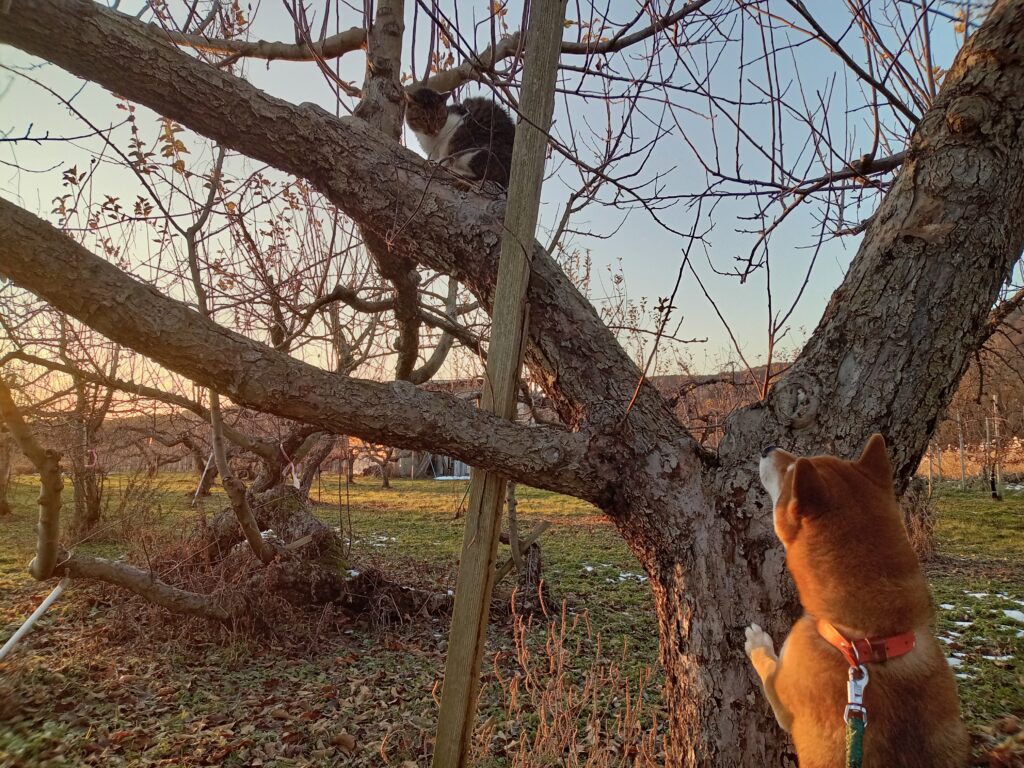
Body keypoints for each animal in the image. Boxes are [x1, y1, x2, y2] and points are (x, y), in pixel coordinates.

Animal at [745, 434, 968, 767]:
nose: (767, 448)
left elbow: (766, 664)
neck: (869, 639)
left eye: (790, 473)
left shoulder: (781, 692)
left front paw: (757, 642)